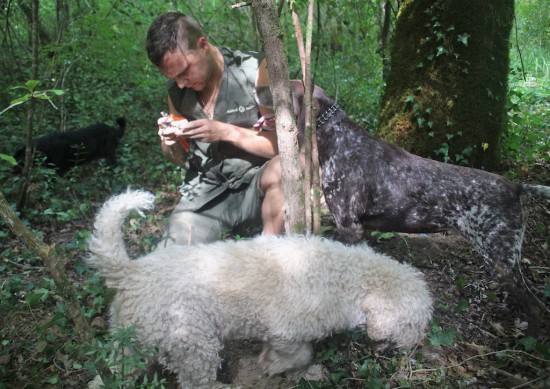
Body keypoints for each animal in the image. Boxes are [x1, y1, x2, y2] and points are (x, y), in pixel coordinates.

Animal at [88, 189, 434, 386]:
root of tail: (131, 272)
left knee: (113, 371)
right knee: (194, 381)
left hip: (130, 341)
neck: (349, 279)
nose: (413, 347)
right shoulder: (288, 331)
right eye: (413, 323)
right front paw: (277, 366)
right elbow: (300, 354)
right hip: (193, 344)